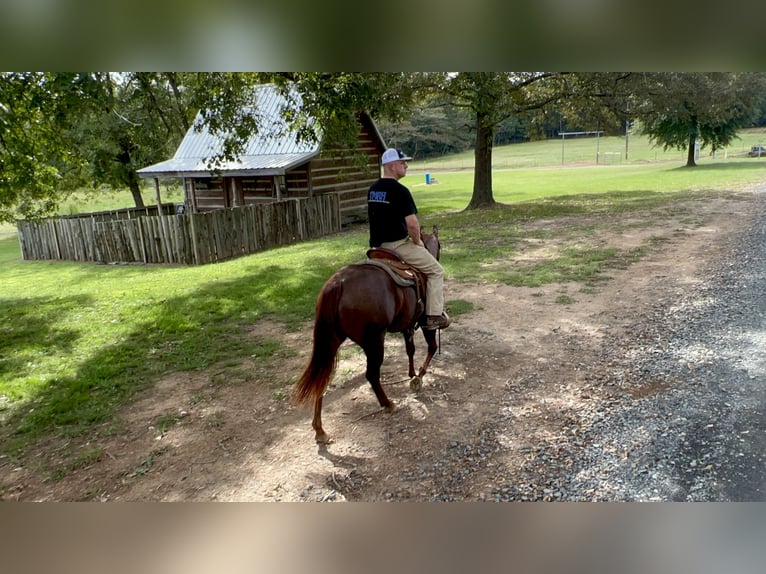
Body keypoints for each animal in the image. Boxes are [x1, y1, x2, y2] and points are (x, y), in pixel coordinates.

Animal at [296, 227, 444, 444]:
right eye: (440, 245)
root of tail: (337, 283)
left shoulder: (407, 326)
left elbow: (410, 349)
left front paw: (411, 373)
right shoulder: (425, 322)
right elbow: (431, 347)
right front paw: (418, 376)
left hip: (331, 342)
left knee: (323, 377)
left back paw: (320, 429)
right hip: (374, 341)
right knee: (372, 374)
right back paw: (388, 404)